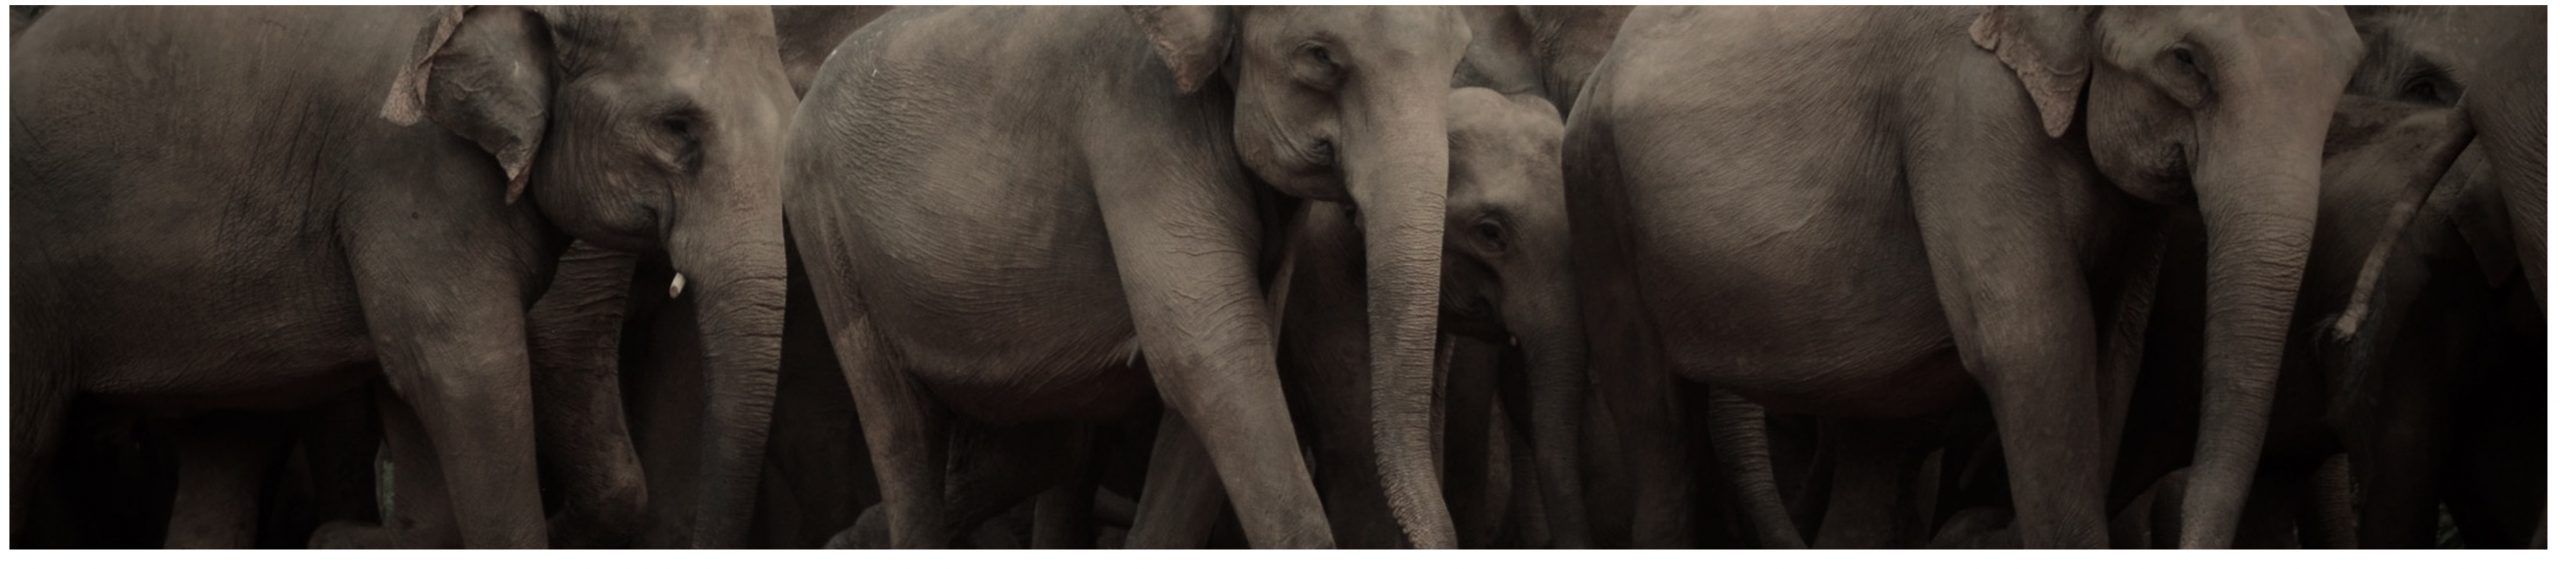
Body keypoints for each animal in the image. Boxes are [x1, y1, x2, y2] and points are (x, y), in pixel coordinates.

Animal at [10, 6, 793, 547]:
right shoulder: (409, 171)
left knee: (225, 438)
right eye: (676, 127)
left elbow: (410, 383)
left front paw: (355, 539)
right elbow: (466, 370)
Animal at [783, 6, 1473, 547]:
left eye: (1459, 60)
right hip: (823, 225)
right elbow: (1207, 357)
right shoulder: (1140, 122)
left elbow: (1224, 375)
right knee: (902, 430)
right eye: (1321, 57)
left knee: (1045, 444)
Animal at [1562, 6, 2366, 548]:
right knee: (1659, 428)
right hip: (1599, 203)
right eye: (2187, 61)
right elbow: (2033, 344)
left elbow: (2113, 352)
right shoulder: (1967, 107)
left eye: (2347, 74)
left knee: (1871, 444)